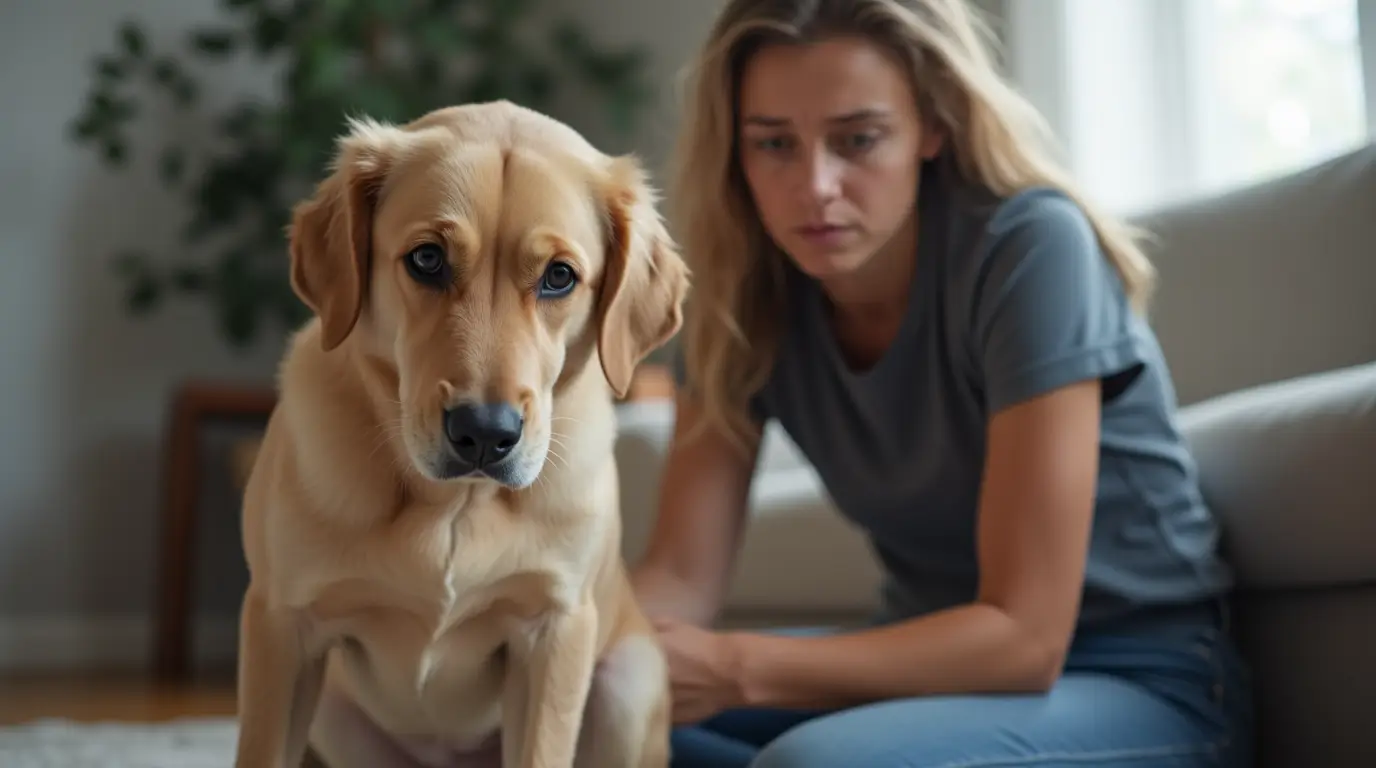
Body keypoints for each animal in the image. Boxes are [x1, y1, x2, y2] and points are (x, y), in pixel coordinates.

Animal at [235, 102, 693, 768]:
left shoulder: (554, 634)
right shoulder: (282, 625)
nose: (484, 433)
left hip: (625, 684)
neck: (454, 507)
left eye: (559, 277)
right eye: (427, 259)